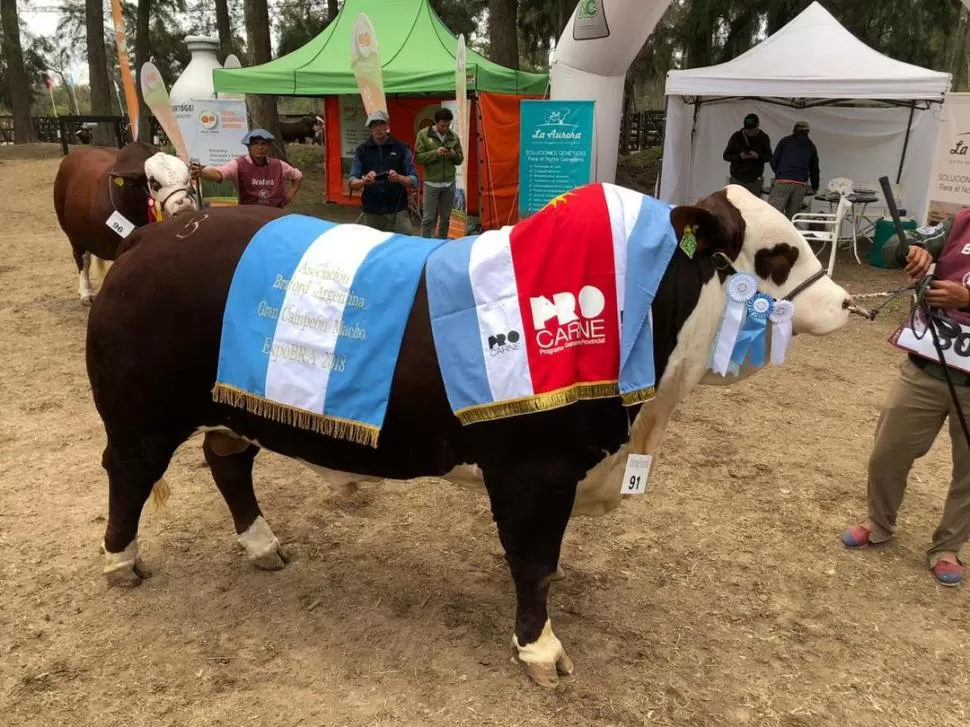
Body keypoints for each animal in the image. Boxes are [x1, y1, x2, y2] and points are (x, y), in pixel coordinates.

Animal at [53, 142, 199, 304]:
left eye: (187, 179)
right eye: (154, 183)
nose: (185, 207)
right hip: (72, 234)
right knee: (82, 259)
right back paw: (85, 292)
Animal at [87, 186, 852, 688]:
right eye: (776, 254)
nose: (849, 303)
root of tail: (155, 235)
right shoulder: (534, 473)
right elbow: (534, 563)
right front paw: (540, 650)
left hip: (229, 412)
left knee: (228, 464)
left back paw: (262, 545)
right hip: (140, 414)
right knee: (128, 471)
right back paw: (121, 561)